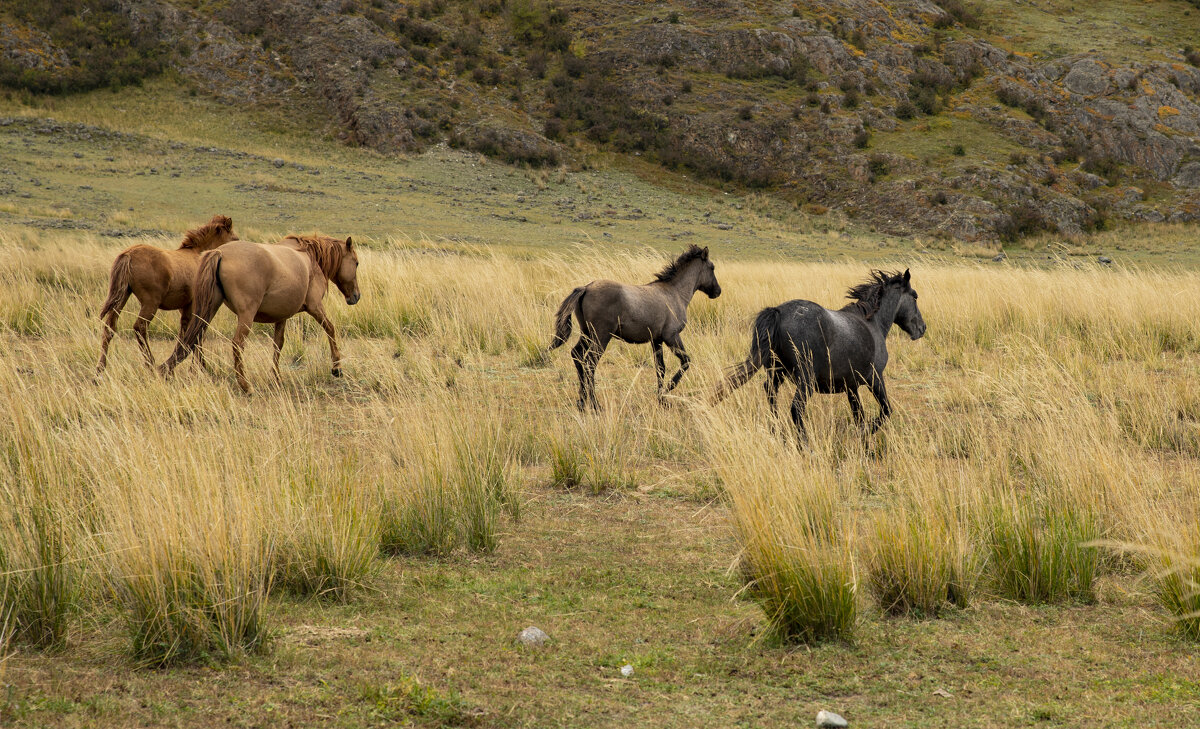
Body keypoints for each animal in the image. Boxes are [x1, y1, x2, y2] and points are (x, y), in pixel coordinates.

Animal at [97, 213, 237, 374]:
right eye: (234, 238)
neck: (197, 255)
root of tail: (128, 255)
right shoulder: (194, 305)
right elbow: (195, 334)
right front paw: (199, 367)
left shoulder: (184, 307)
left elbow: (186, 333)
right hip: (150, 303)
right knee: (140, 327)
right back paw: (151, 364)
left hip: (122, 297)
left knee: (110, 328)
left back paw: (100, 368)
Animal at [158, 233, 360, 393]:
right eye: (356, 263)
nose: (356, 296)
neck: (311, 258)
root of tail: (220, 253)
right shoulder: (315, 307)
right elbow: (330, 329)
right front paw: (336, 368)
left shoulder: (282, 316)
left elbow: (278, 344)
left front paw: (276, 378)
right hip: (245, 316)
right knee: (237, 344)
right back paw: (245, 386)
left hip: (209, 308)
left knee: (194, 338)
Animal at [549, 244, 720, 410]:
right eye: (712, 267)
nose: (718, 291)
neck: (674, 293)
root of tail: (586, 288)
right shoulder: (671, 337)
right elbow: (685, 361)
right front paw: (668, 389)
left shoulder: (656, 340)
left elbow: (660, 368)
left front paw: (661, 400)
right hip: (601, 337)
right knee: (590, 363)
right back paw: (595, 404)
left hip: (587, 333)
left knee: (577, 355)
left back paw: (582, 402)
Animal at [710, 267, 926, 438]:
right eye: (915, 296)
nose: (922, 328)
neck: (872, 323)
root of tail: (778, 312)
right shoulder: (875, 378)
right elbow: (886, 411)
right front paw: (866, 433)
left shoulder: (851, 387)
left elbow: (859, 416)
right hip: (805, 380)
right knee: (796, 409)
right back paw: (805, 446)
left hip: (776, 372)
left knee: (771, 396)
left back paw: (777, 431)